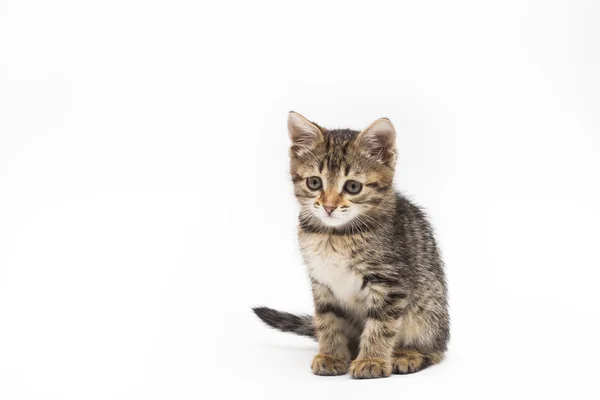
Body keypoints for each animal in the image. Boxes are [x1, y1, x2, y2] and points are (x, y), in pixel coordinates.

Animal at [251, 111, 448, 378]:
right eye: (314, 183)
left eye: (353, 186)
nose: (329, 206)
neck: (335, 236)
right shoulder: (321, 282)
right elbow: (327, 321)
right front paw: (331, 355)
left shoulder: (389, 282)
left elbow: (381, 324)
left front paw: (372, 360)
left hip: (428, 312)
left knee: (435, 350)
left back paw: (407, 355)